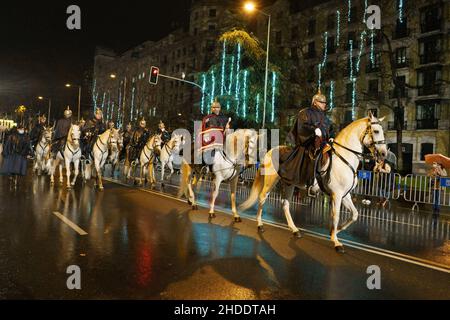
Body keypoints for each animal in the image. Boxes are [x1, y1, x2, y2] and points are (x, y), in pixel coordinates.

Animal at [239, 113, 386, 252]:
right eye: (376, 131)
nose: (384, 154)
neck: (344, 157)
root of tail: (270, 151)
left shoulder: (345, 195)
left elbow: (354, 215)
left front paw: (334, 231)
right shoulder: (337, 195)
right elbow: (336, 215)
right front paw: (336, 241)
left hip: (289, 184)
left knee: (285, 204)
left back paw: (295, 230)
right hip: (271, 181)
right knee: (262, 198)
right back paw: (260, 224)